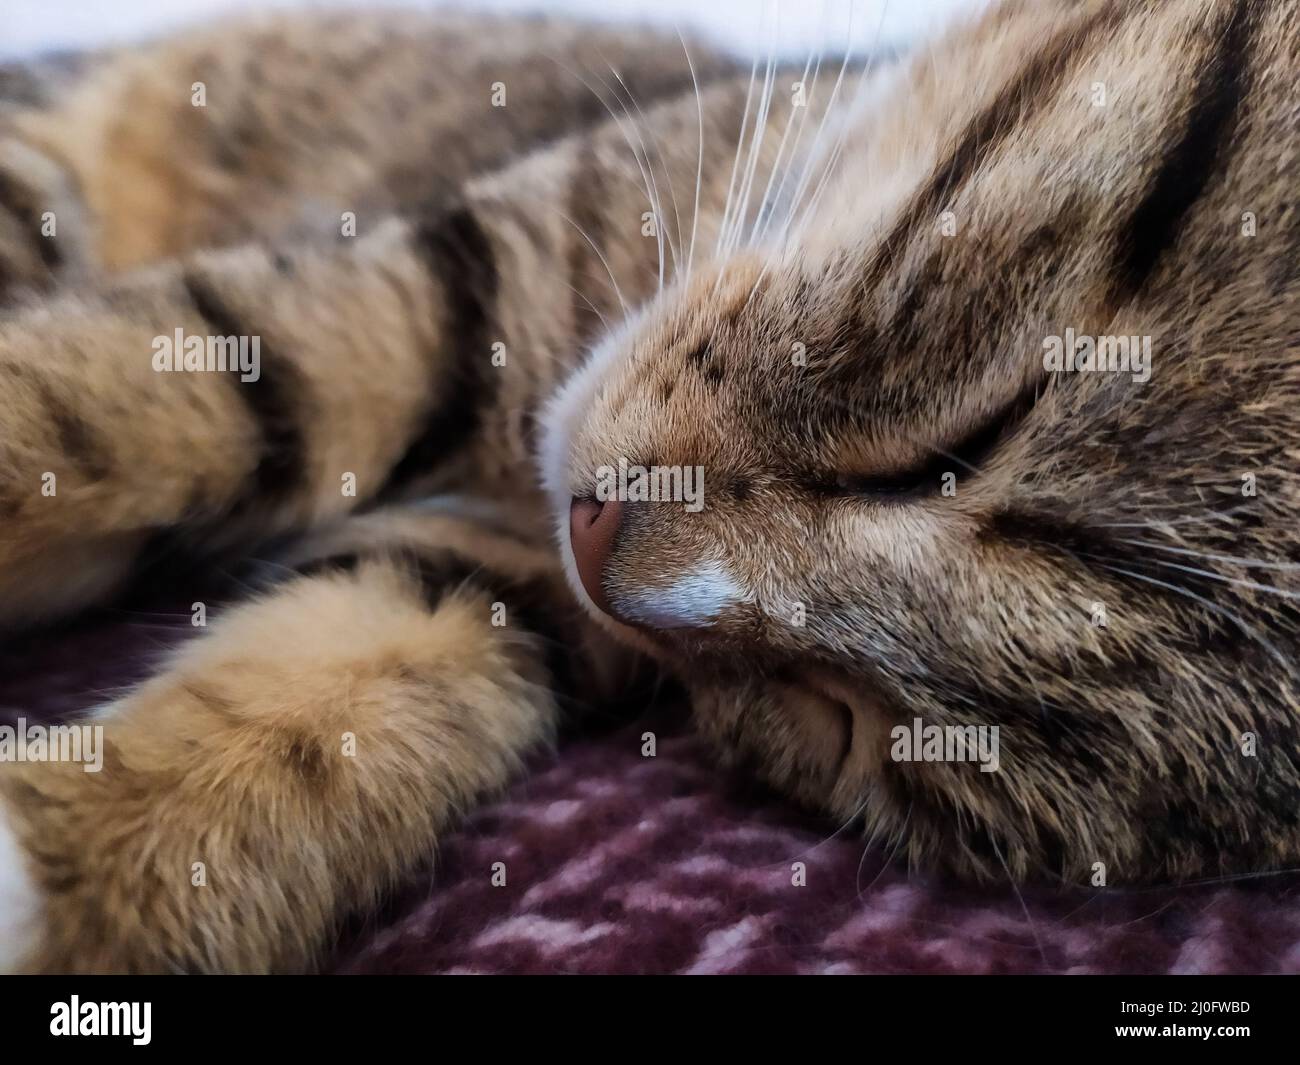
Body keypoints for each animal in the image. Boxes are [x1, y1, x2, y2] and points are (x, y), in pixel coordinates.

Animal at [0, 0, 1294, 972]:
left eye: (843, 725)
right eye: (970, 432)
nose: (598, 547)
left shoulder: (497, 576)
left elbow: (337, 702)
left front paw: (75, 864)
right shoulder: (460, 276)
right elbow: (143, 383)